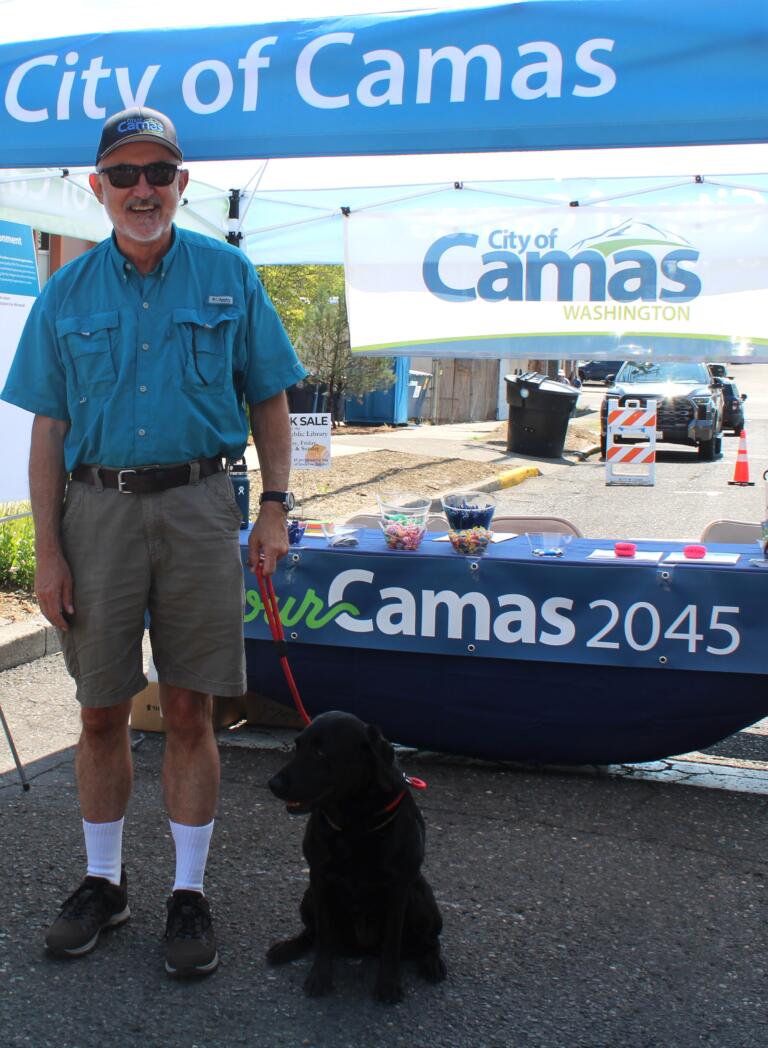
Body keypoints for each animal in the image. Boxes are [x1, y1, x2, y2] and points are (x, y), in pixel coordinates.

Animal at [266, 712, 446, 997]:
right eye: (297, 746)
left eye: (320, 751)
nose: (273, 784)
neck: (354, 819)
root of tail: (364, 949)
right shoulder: (319, 879)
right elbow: (324, 936)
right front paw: (320, 977)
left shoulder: (399, 886)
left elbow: (392, 942)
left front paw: (388, 984)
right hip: (308, 897)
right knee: (312, 933)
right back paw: (287, 948)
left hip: (422, 901)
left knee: (429, 941)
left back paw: (431, 962)